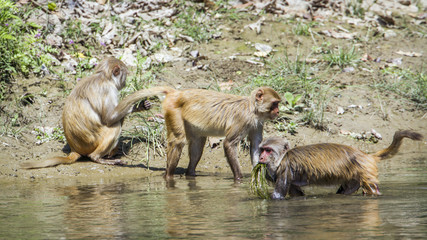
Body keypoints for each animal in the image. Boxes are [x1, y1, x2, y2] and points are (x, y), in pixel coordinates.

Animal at [20, 57, 171, 169]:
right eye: (125, 75)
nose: (125, 82)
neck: (103, 76)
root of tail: (75, 148)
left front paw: (140, 106)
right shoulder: (109, 89)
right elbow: (110, 118)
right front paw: (135, 106)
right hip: (93, 142)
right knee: (115, 124)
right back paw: (100, 157)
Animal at [258, 130, 424, 200]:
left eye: (268, 150)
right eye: (262, 149)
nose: (260, 157)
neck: (282, 157)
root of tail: (366, 155)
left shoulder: (285, 167)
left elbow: (278, 196)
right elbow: (297, 194)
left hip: (365, 171)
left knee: (372, 190)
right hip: (355, 176)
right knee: (345, 190)